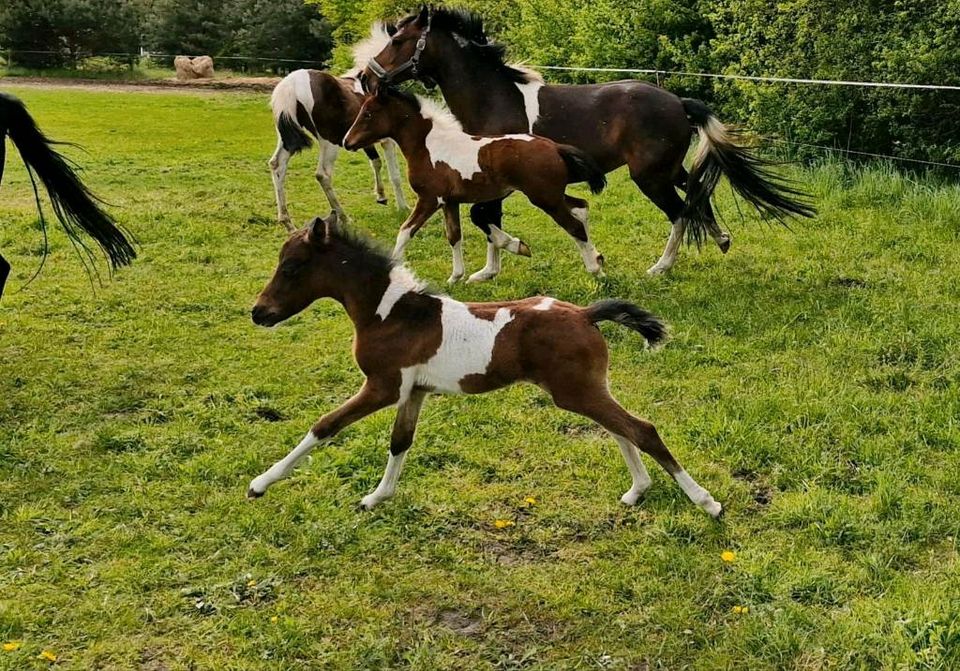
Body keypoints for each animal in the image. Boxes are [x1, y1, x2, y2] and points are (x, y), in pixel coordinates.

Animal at [248, 213, 720, 516]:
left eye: (292, 267)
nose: (258, 313)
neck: (391, 313)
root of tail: (586, 314)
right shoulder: (413, 391)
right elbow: (400, 442)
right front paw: (376, 498)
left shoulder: (384, 386)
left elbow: (325, 426)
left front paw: (260, 484)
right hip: (584, 390)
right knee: (622, 429)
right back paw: (637, 491)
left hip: (575, 392)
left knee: (641, 429)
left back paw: (706, 502)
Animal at [342, 87, 604, 284]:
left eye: (368, 113)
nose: (347, 142)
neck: (428, 147)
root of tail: (555, 147)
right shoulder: (449, 202)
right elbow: (453, 236)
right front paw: (455, 277)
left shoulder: (429, 199)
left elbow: (405, 231)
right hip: (553, 195)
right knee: (581, 207)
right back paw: (598, 260)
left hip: (545, 198)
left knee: (574, 226)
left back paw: (595, 269)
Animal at [364, 7, 812, 276]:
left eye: (399, 41)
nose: (369, 78)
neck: (494, 97)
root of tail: (678, 102)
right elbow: (488, 219)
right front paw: (487, 271)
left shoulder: (505, 178)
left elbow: (485, 218)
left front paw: (511, 255)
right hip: (669, 170)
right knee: (697, 192)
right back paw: (721, 239)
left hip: (650, 178)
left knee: (680, 212)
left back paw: (661, 267)